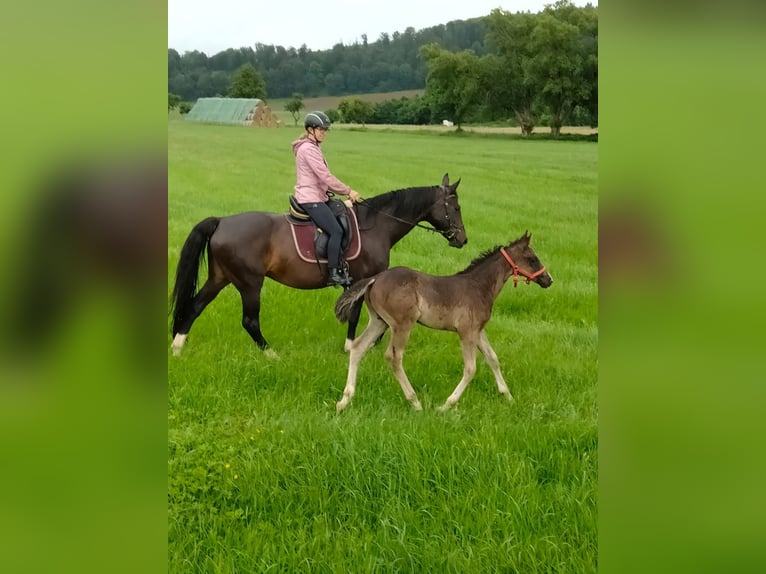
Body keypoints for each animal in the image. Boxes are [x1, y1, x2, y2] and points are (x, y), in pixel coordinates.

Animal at [171, 173, 468, 358]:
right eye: (455, 208)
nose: (462, 239)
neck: (377, 225)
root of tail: (222, 221)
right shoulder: (364, 280)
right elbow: (358, 315)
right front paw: (354, 346)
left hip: (220, 277)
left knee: (195, 306)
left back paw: (177, 346)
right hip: (250, 283)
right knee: (249, 321)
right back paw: (271, 354)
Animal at [334, 232, 552, 412]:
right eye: (532, 259)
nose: (548, 279)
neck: (479, 286)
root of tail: (375, 279)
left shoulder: (478, 331)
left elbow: (493, 359)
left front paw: (508, 397)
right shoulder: (467, 332)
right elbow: (471, 368)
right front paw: (446, 405)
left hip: (380, 321)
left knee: (358, 347)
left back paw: (344, 400)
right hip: (402, 324)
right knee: (393, 357)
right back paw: (415, 402)